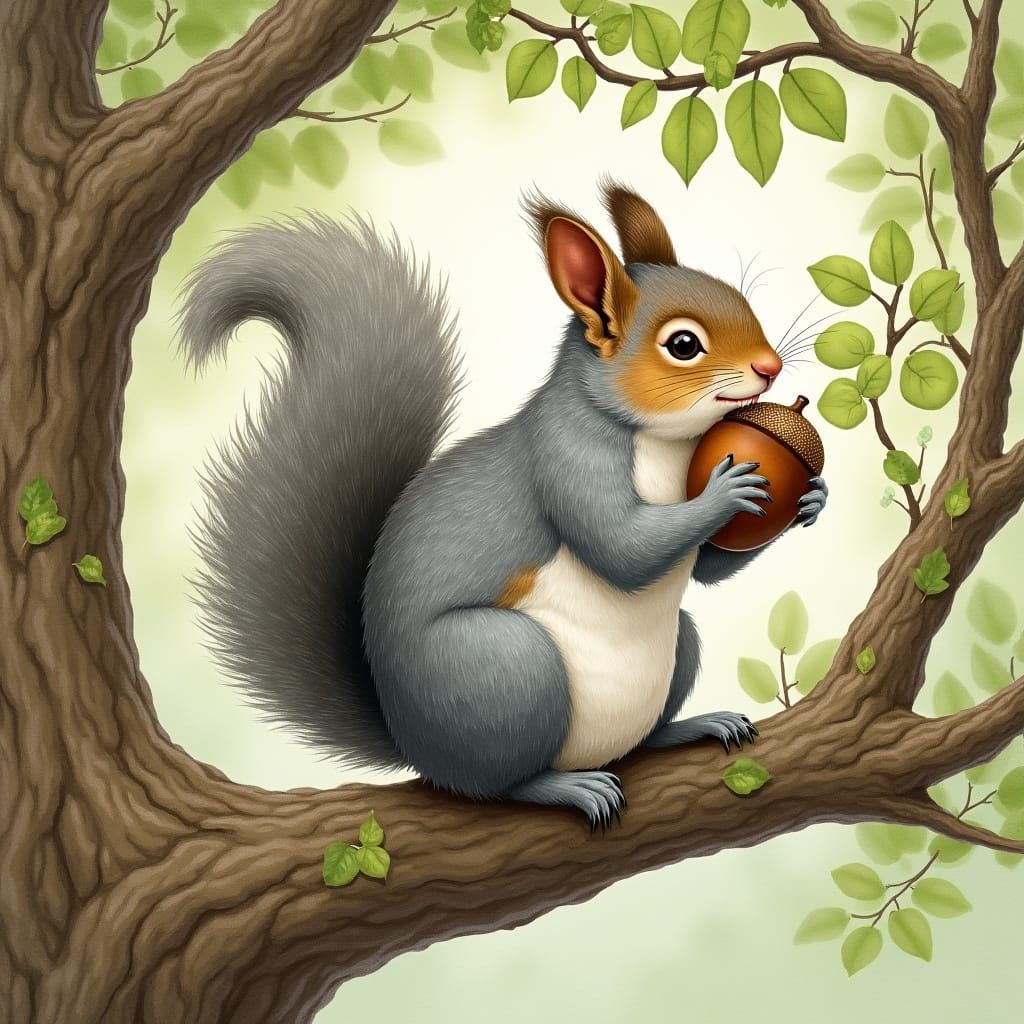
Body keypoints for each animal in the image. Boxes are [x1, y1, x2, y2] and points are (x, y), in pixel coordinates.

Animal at [177, 183, 828, 829]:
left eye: (740, 298)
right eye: (684, 344)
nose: (771, 367)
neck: (669, 443)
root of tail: (414, 743)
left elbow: (708, 568)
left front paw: (813, 498)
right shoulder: (566, 457)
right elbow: (622, 550)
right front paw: (726, 491)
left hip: (675, 645)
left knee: (642, 729)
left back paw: (692, 728)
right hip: (507, 669)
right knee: (497, 785)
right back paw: (567, 787)